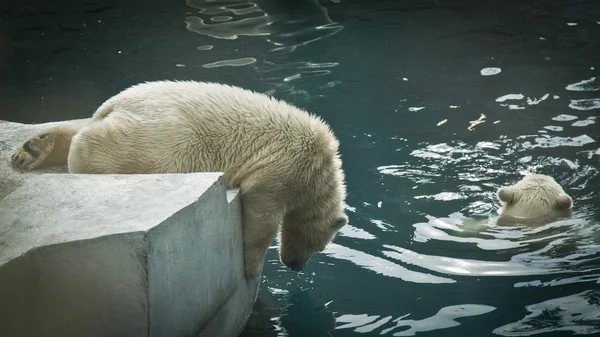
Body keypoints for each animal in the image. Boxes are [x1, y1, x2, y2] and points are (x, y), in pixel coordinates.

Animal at [9, 80, 350, 276]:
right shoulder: (286, 166)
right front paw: (252, 269)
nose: (296, 266)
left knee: (82, 125)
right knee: (96, 146)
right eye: (320, 247)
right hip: (162, 141)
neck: (322, 169)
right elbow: (260, 214)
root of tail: (115, 103)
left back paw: (32, 150)